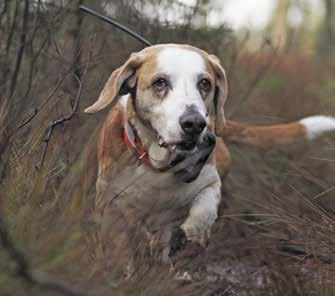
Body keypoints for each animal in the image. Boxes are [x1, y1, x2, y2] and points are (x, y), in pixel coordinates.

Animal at [84, 43, 335, 260]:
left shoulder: (211, 181)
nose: (195, 123)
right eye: (160, 83)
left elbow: (204, 208)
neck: (158, 167)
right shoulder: (110, 208)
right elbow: (119, 252)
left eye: (205, 83)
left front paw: (194, 231)